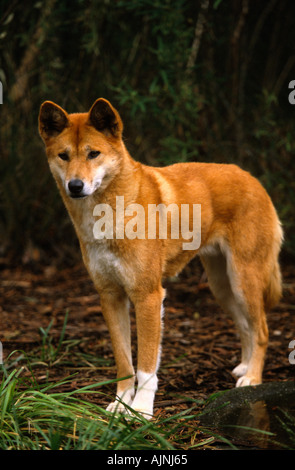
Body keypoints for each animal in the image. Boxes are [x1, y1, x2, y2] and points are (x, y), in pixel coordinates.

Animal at [38, 96, 284, 418]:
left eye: (93, 154)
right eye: (63, 156)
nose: (75, 186)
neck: (108, 215)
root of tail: (252, 178)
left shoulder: (148, 296)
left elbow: (145, 365)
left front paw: (141, 410)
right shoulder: (110, 296)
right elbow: (124, 362)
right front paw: (120, 404)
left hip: (244, 280)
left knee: (263, 329)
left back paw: (252, 378)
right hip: (222, 286)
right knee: (246, 326)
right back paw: (244, 367)